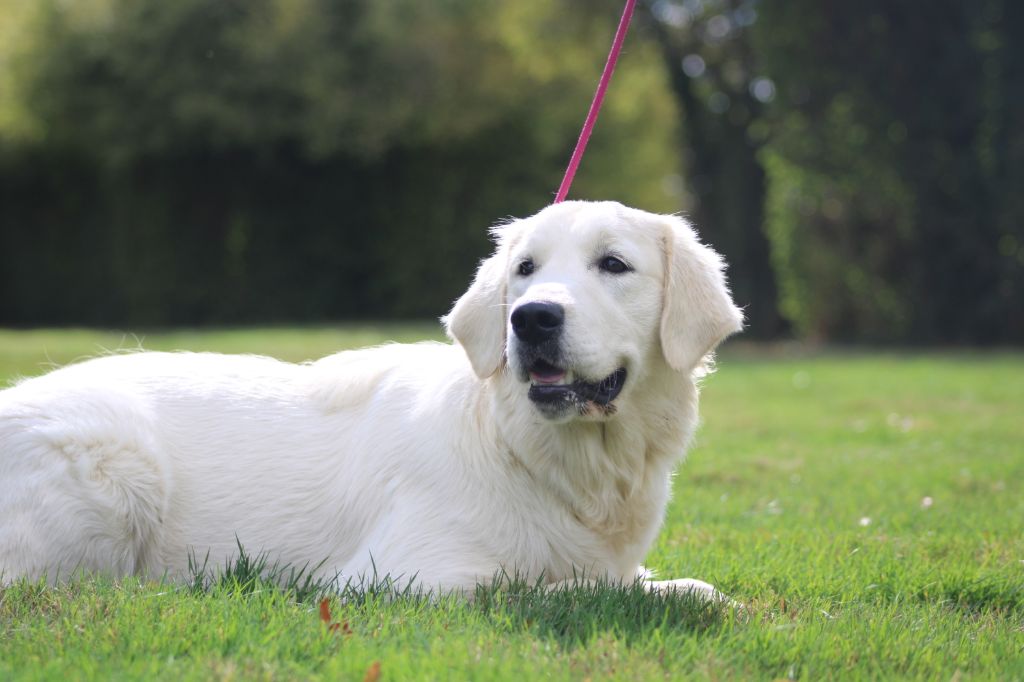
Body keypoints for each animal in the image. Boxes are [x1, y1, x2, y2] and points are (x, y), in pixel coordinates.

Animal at [0, 200, 741, 593]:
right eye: (525, 269)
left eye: (614, 264)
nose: (530, 318)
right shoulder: (401, 577)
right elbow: (564, 584)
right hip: (119, 469)